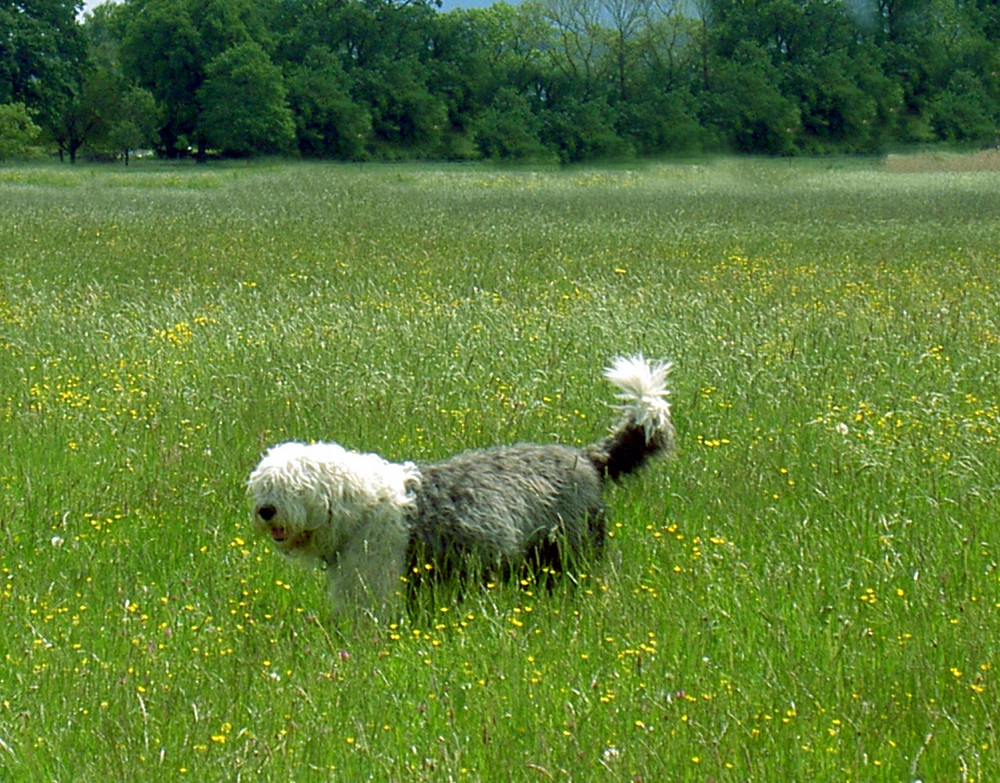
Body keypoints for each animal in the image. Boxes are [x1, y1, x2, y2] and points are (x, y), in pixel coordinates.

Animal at [246, 356, 676, 620]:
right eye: (264, 484)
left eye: (295, 486)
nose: (266, 510)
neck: (361, 507)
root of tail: (587, 458)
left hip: (570, 554)